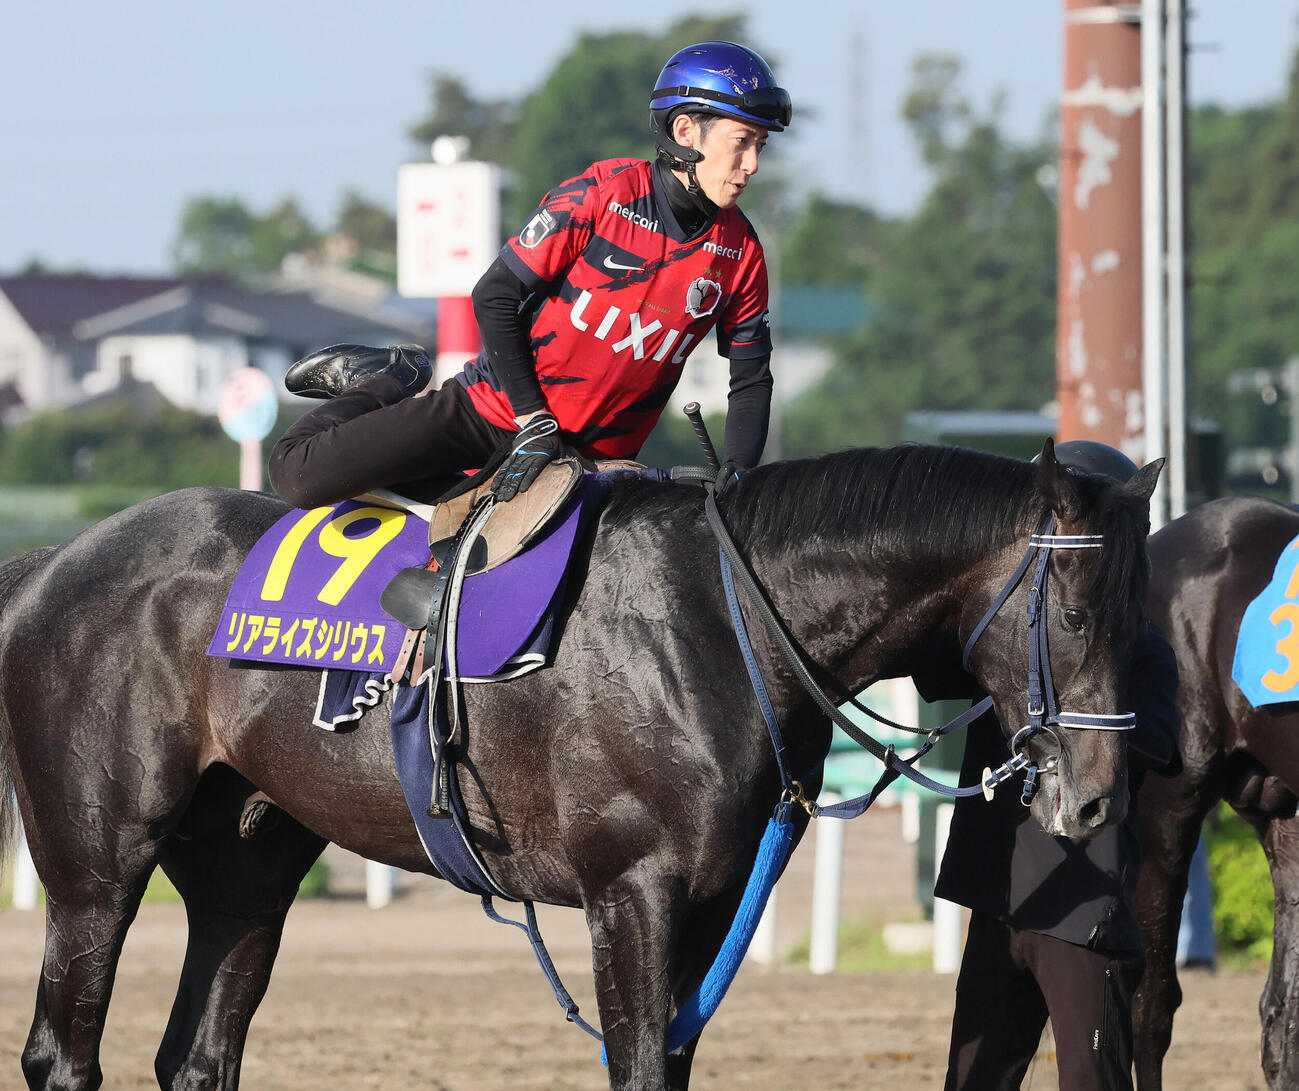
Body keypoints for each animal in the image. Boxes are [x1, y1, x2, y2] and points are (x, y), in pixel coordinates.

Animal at [0, 439, 1159, 1091]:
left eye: (1136, 606)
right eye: (1073, 611)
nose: (1099, 796)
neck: (721, 619)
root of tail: (54, 560)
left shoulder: (710, 904)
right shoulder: (631, 892)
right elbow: (636, 1065)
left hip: (247, 869)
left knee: (199, 1055)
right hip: (96, 865)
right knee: (64, 1051)